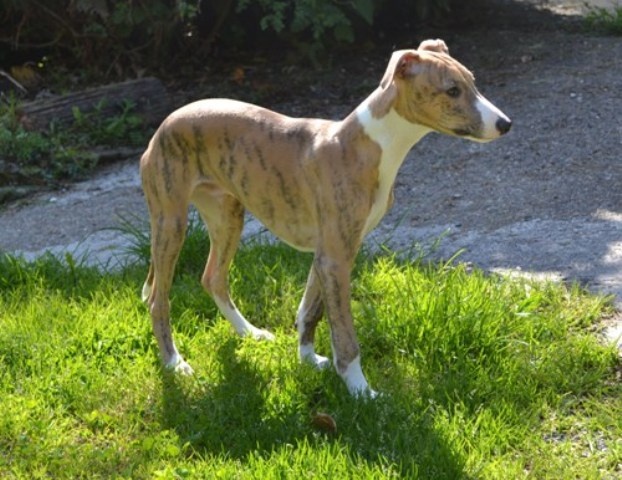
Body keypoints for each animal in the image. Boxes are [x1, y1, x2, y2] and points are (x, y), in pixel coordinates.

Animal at [140, 39, 511, 397]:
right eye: (452, 90)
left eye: (473, 82)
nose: (505, 124)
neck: (366, 145)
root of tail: (162, 127)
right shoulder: (335, 259)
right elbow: (345, 335)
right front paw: (361, 391)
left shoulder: (329, 252)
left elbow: (310, 311)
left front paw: (308, 360)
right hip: (171, 223)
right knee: (159, 299)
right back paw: (175, 363)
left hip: (227, 215)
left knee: (212, 277)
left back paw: (250, 333)